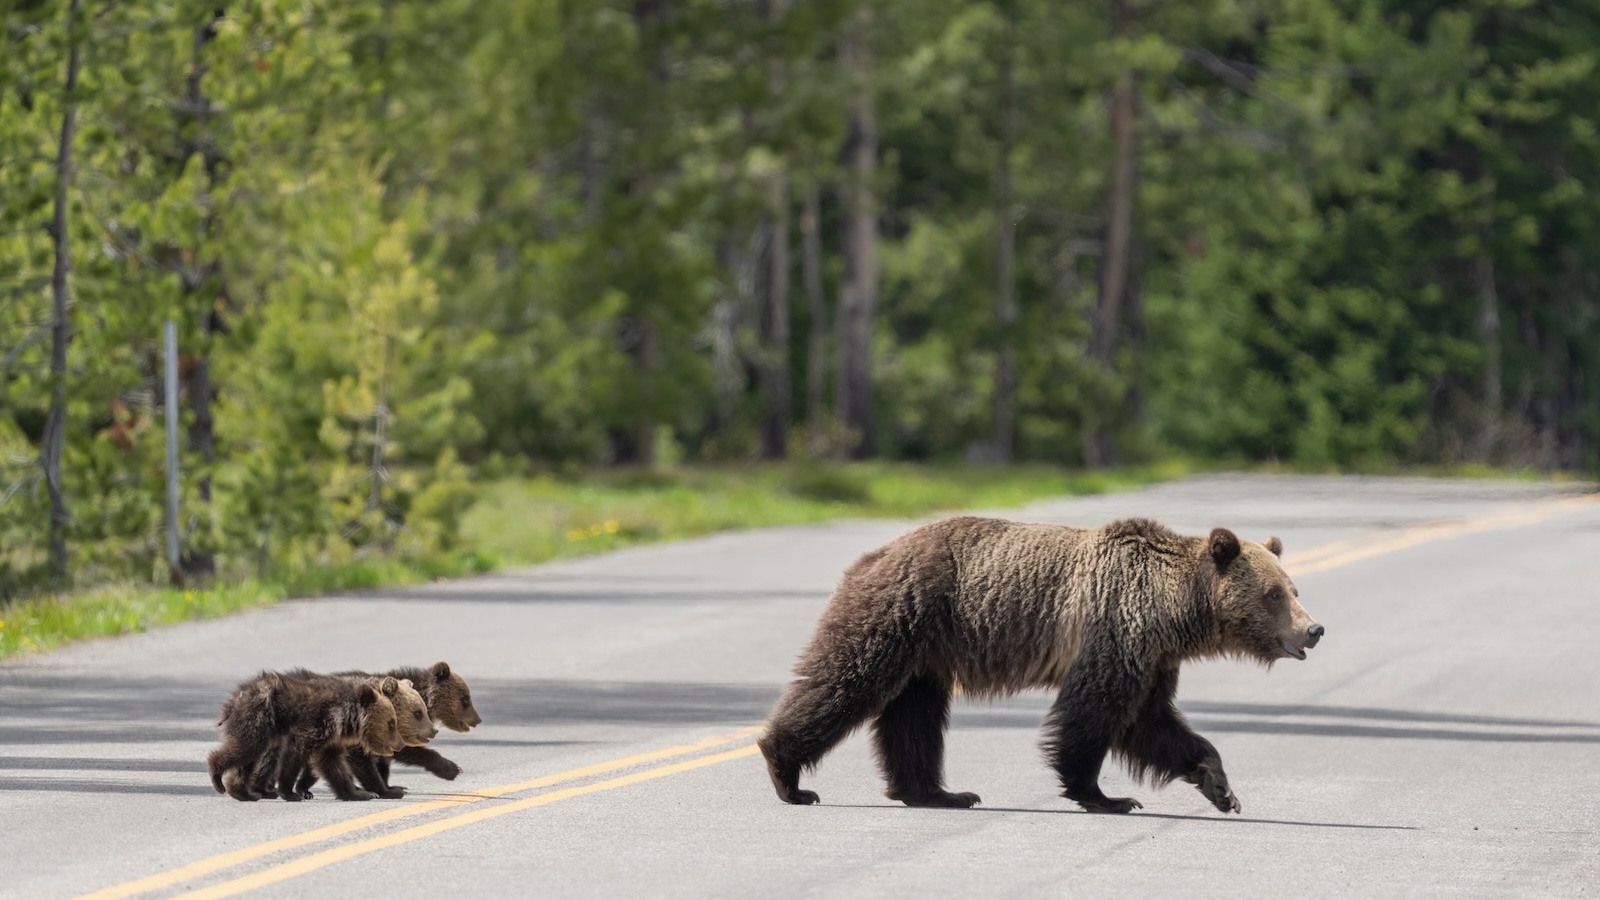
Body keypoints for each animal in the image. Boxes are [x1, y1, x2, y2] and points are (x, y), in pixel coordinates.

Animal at [207, 670, 403, 802]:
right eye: (391, 723)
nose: (400, 744)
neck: (344, 716)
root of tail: (232, 701)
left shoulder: (330, 739)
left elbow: (333, 765)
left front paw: (359, 793)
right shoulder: (316, 723)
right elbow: (296, 755)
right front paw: (289, 792)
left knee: (248, 760)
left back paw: (244, 793)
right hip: (258, 718)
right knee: (245, 749)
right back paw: (217, 776)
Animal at [757, 516, 1324, 814]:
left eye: (1293, 589)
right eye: (1276, 594)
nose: (1314, 629)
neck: (1175, 610)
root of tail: (873, 555)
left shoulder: (1153, 658)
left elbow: (1154, 725)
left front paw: (1221, 787)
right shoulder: (1115, 631)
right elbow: (1093, 715)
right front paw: (1105, 795)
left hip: (925, 653)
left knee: (913, 717)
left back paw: (939, 792)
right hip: (902, 613)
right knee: (846, 679)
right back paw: (789, 774)